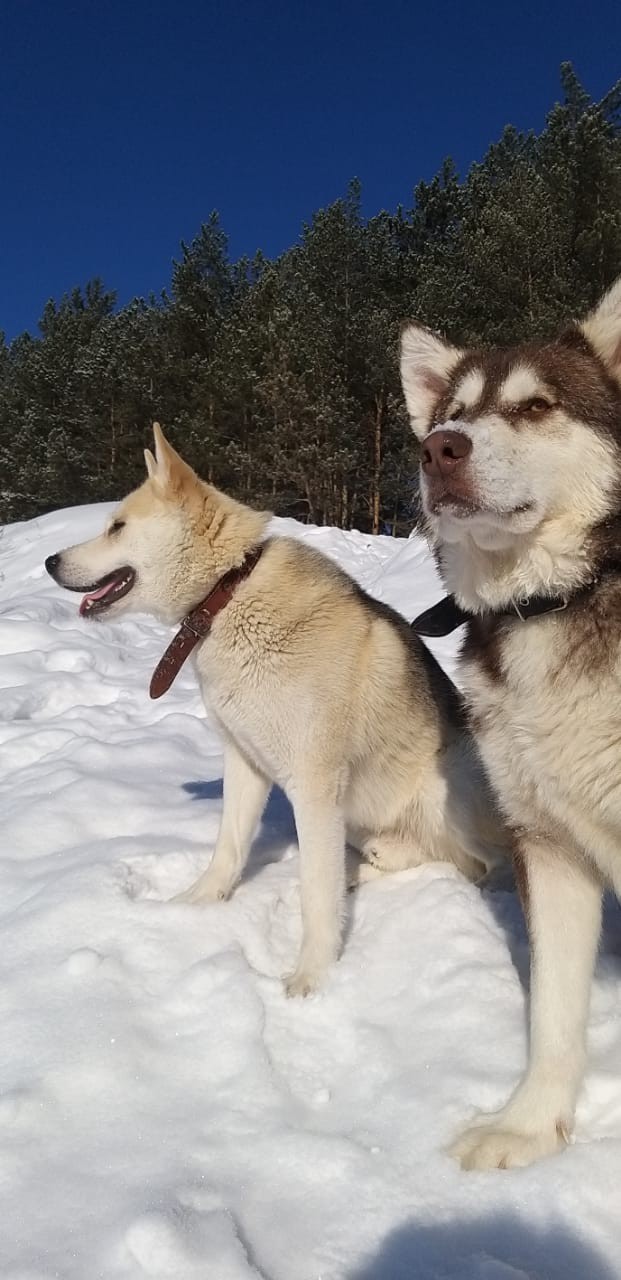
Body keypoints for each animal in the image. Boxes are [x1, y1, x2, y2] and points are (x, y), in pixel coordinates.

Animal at [46, 424, 507, 993]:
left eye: (117, 527)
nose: (50, 562)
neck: (227, 593)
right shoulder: (245, 763)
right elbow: (229, 849)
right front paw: (195, 907)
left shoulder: (315, 786)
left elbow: (315, 895)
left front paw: (312, 975)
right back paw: (367, 866)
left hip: (452, 784)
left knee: (481, 866)